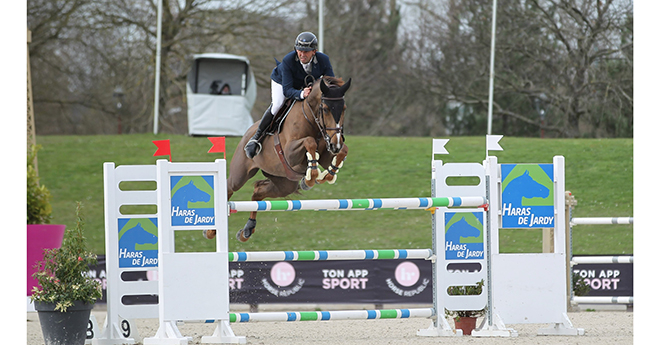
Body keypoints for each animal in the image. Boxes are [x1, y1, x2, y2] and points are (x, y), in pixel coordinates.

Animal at [205, 76, 350, 242]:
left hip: (284, 183)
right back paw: (211, 231)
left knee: (259, 191)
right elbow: (309, 142)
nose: (335, 144)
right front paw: (310, 177)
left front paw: (326, 175)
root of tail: (248, 132)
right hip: (240, 174)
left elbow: (342, 151)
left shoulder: (327, 154)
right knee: (230, 187)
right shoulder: (290, 154)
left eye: (344, 108)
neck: (313, 120)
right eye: (325, 109)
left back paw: (246, 230)